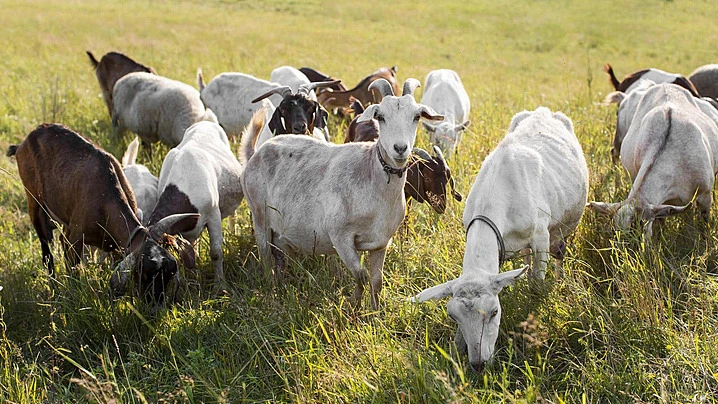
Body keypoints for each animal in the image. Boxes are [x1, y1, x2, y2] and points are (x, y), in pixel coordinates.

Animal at [7, 124, 197, 303]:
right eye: (143, 272)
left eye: (170, 273)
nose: (155, 306)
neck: (106, 200)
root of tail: (24, 142)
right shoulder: (75, 239)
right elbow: (74, 271)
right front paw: (73, 295)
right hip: (35, 204)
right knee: (46, 251)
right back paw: (54, 288)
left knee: (60, 239)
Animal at [146, 110, 243, 289]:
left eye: (162, 265)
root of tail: (206, 121)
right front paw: (192, 279)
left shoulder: (213, 215)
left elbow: (216, 253)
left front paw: (220, 287)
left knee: (233, 215)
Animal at [241, 78, 443, 310]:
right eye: (380, 116)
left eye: (416, 116)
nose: (400, 148)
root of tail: (256, 153)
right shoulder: (341, 237)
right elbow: (361, 276)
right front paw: (353, 306)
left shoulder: (381, 242)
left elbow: (377, 281)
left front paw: (375, 313)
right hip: (259, 216)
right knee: (265, 256)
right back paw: (270, 291)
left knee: (281, 256)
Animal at [414, 107, 589, 373]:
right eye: (453, 316)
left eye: (495, 312)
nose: (478, 364)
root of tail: (542, 111)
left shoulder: (541, 237)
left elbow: (536, 285)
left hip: (562, 228)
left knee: (559, 251)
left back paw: (560, 280)